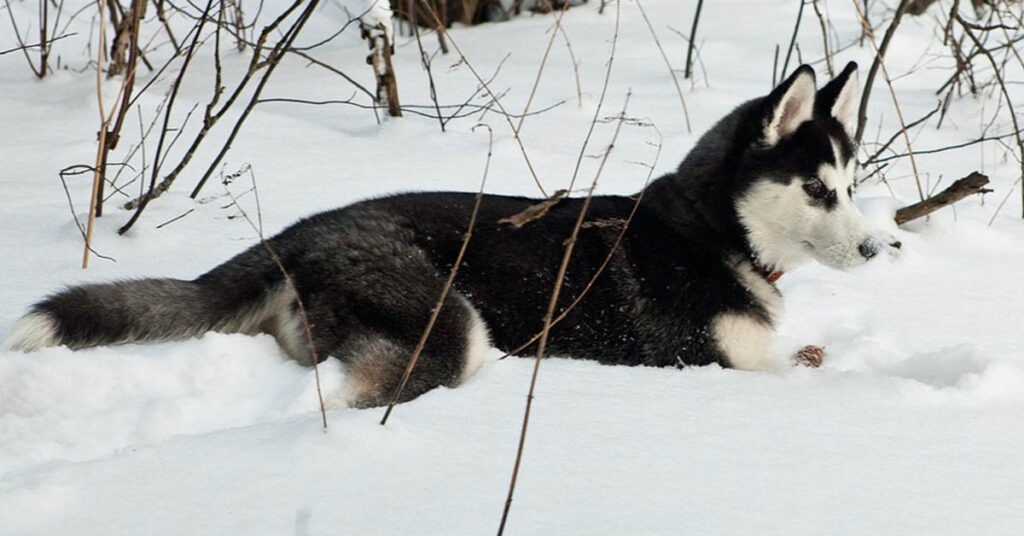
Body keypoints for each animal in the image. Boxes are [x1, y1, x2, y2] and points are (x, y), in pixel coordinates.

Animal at [6, 63, 888, 407]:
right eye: (817, 190)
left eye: (852, 184)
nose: (880, 250)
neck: (713, 232)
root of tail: (300, 232)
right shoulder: (712, 364)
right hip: (453, 326)